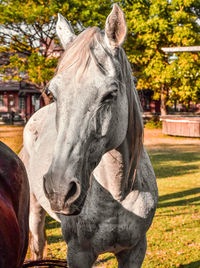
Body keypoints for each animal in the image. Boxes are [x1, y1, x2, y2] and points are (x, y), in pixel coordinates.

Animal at [20, 4, 158, 268]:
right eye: (53, 93)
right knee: (37, 244)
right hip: (34, 208)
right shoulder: (78, 252)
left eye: (110, 94)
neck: (117, 193)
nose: (59, 190)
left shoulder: (135, 250)